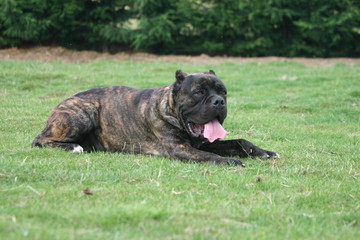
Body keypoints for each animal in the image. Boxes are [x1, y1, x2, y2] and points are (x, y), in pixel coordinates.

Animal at [32, 70, 278, 166]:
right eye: (199, 92)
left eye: (223, 92)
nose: (218, 102)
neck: (170, 108)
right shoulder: (180, 149)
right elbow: (207, 155)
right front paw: (228, 161)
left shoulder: (206, 142)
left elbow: (239, 142)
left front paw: (265, 152)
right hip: (84, 112)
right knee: (40, 140)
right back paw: (73, 147)